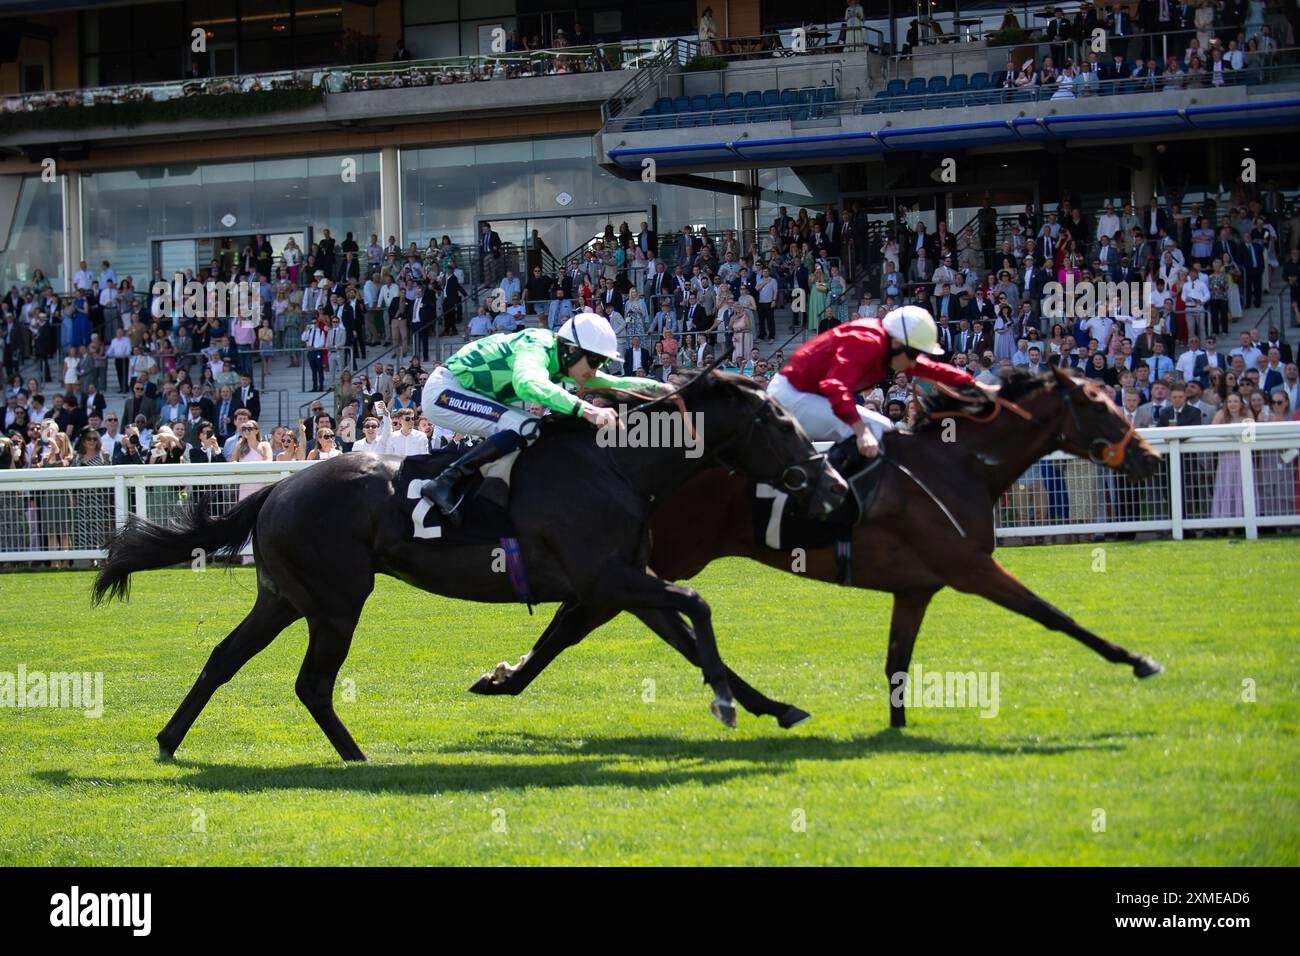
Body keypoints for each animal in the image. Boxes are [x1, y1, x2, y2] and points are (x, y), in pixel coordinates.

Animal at [89, 369, 842, 759]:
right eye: (782, 423)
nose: (834, 486)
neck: (616, 465)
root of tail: (278, 487)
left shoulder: (617, 585)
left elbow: (681, 636)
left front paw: (773, 706)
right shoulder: (608, 578)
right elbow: (697, 605)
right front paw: (729, 704)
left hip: (282, 597)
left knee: (224, 658)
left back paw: (168, 740)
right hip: (334, 602)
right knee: (312, 684)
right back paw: (357, 758)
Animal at [467, 369, 1170, 728]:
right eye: (1101, 405)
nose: (1153, 458)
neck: (957, 464)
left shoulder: (918, 586)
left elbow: (896, 663)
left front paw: (896, 732)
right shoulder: (969, 566)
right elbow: (1055, 615)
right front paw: (1137, 660)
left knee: (599, 619)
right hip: (642, 561)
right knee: (583, 621)